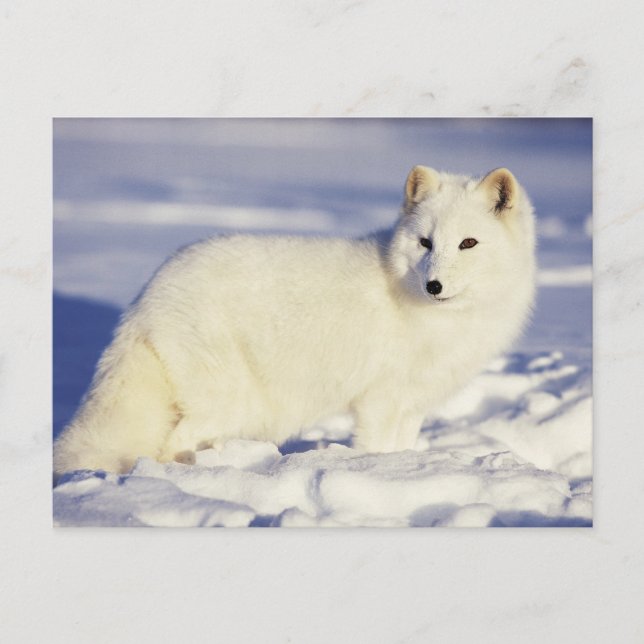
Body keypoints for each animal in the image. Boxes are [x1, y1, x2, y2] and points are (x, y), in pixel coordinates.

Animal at [53, 166, 536, 476]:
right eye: (425, 242)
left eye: (468, 243)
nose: (433, 285)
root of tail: (148, 295)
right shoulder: (379, 400)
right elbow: (378, 448)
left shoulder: (413, 402)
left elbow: (402, 446)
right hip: (232, 400)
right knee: (172, 444)